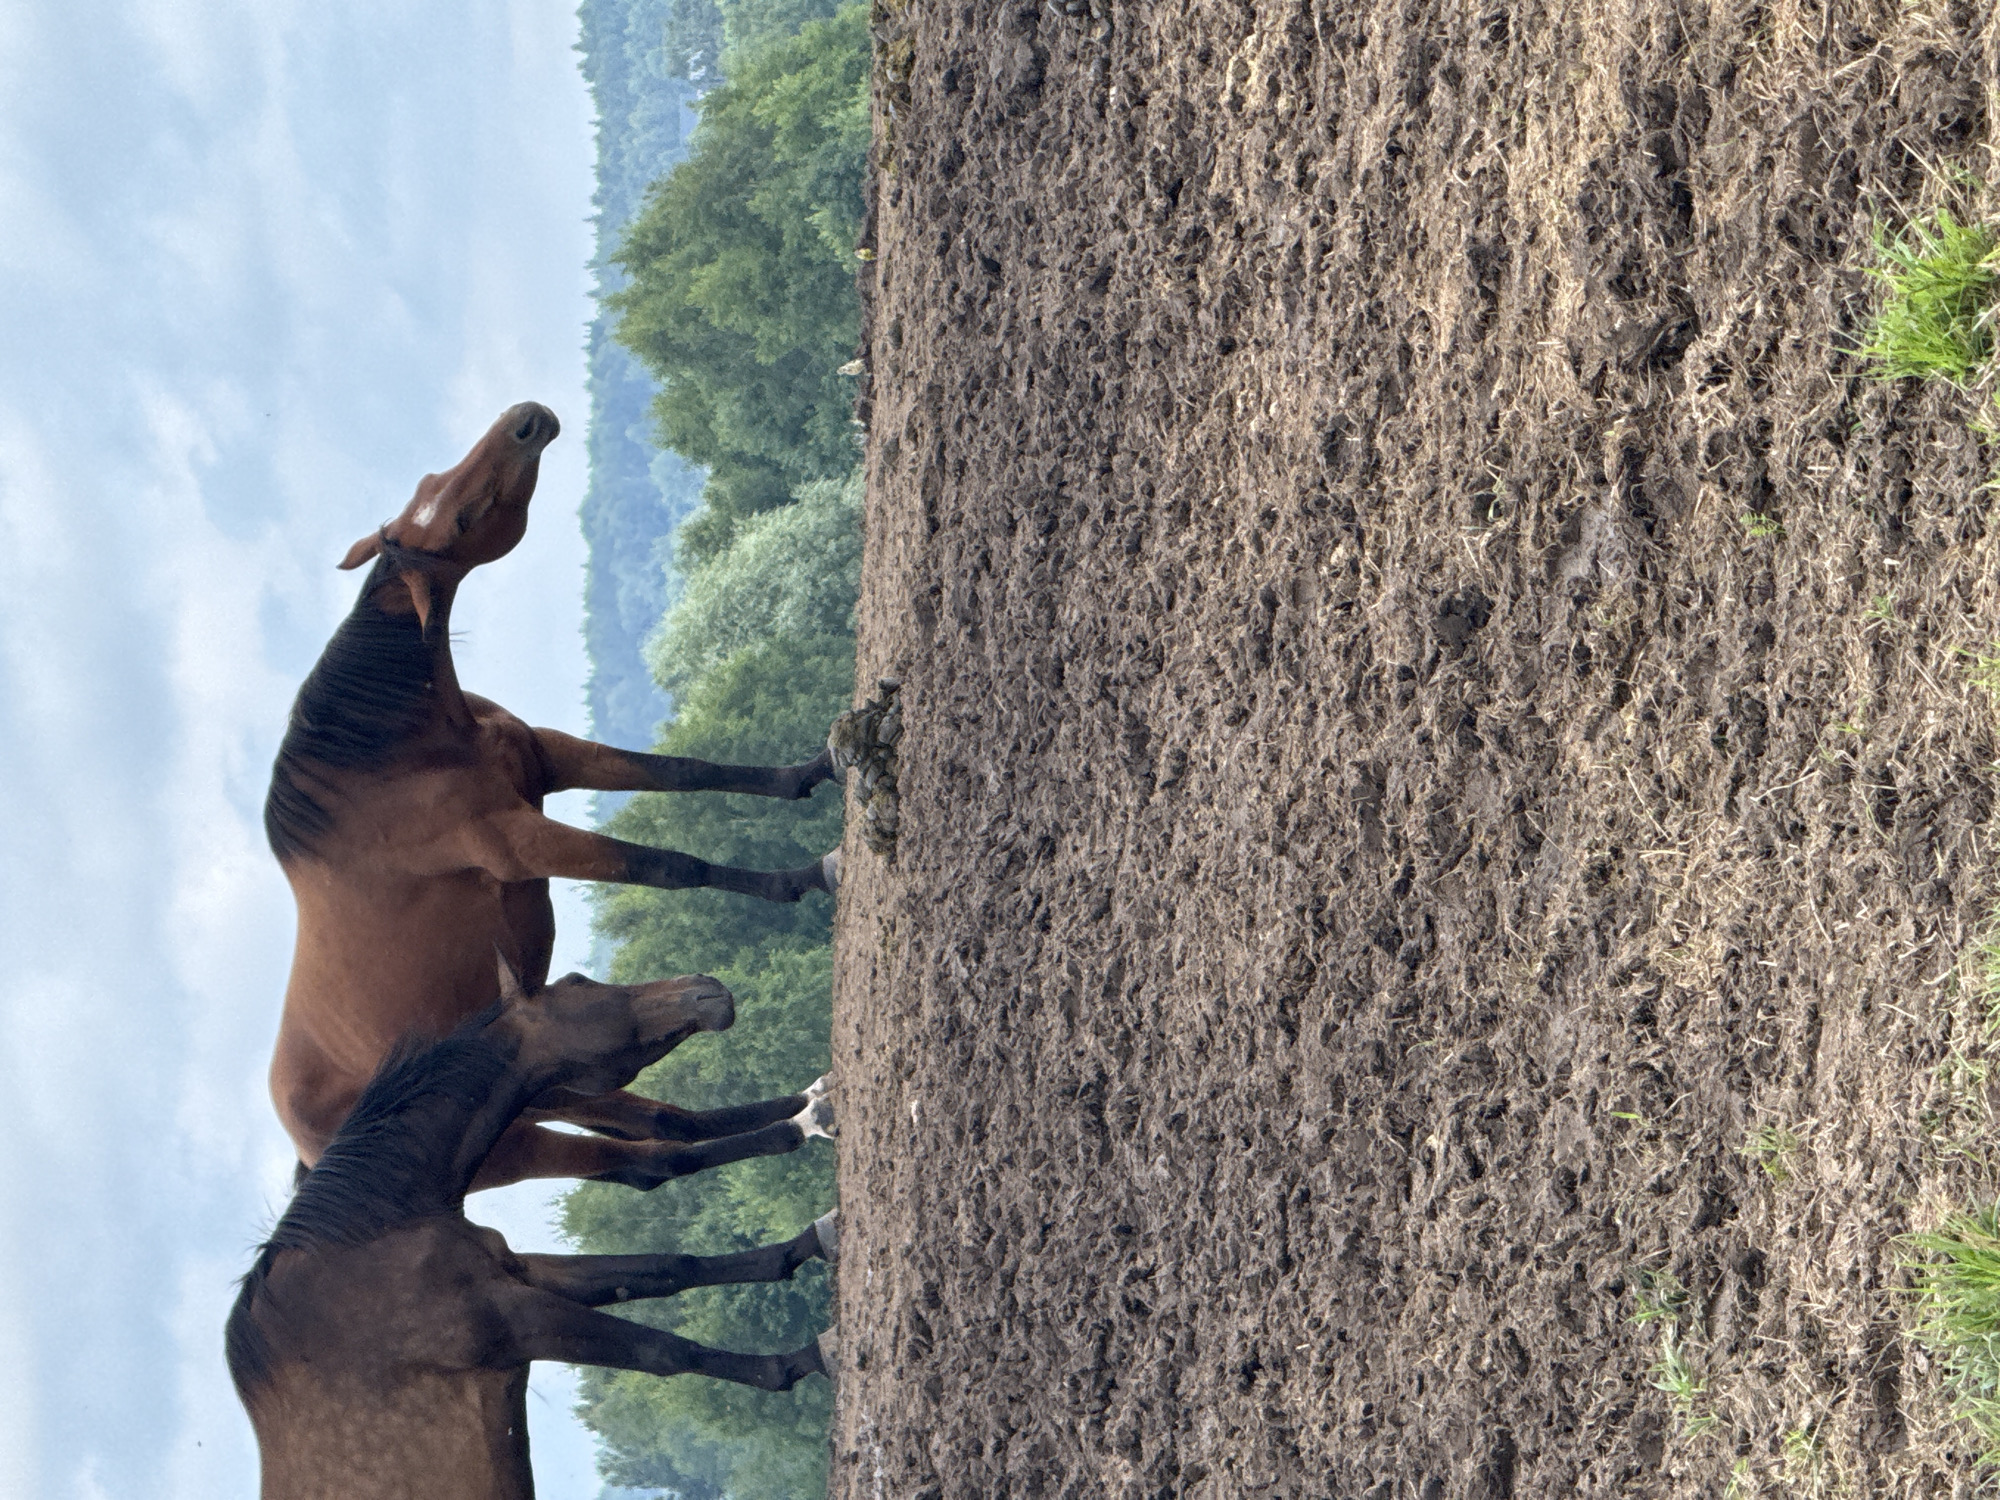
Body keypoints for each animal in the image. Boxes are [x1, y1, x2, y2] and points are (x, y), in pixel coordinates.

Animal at [227, 967, 837, 1500]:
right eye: (577, 983)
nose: (705, 986)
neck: (368, 1244)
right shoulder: (510, 1319)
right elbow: (663, 1350)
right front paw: (804, 1359)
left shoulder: (520, 1272)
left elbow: (670, 1268)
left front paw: (811, 1240)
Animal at [266, 402, 843, 1189]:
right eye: (461, 516)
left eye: (435, 487)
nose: (526, 420)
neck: (396, 754)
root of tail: (307, 1148)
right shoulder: (520, 841)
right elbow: (669, 867)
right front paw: (806, 877)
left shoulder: (550, 758)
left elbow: (681, 769)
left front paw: (814, 774)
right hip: (523, 1135)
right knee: (647, 1159)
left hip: (559, 1081)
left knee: (665, 1121)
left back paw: (810, 1108)